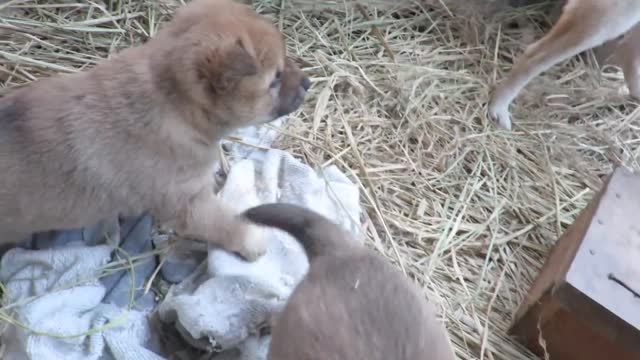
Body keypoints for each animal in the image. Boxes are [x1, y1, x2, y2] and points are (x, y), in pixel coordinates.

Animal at [0, 0, 310, 260]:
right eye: (275, 78)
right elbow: (227, 223)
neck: (174, 105)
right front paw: (254, 240)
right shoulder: (187, 204)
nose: (307, 82)